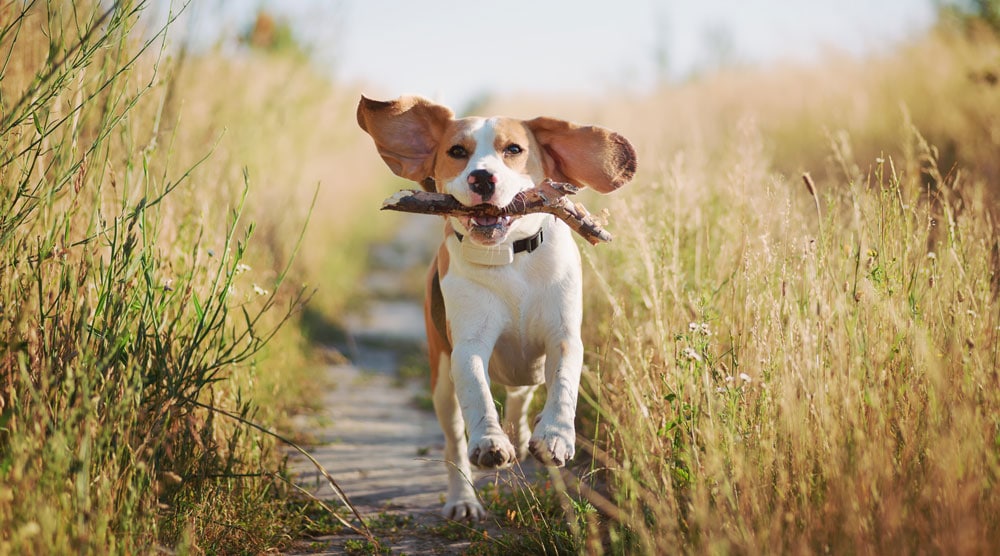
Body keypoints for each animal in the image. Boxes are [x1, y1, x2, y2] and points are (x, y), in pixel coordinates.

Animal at [356, 93, 636, 520]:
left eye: (514, 150)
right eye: (457, 152)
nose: (482, 179)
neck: (509, 258)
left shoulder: (563, 337)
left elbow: (565, 382)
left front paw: (554, 436)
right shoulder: (468, 347)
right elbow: (477, 392)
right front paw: (490, 442)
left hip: (526, 368)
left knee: (521, 396)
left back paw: (523, 437)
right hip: (441, 381)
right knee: (454, 440)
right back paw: (463, 498)